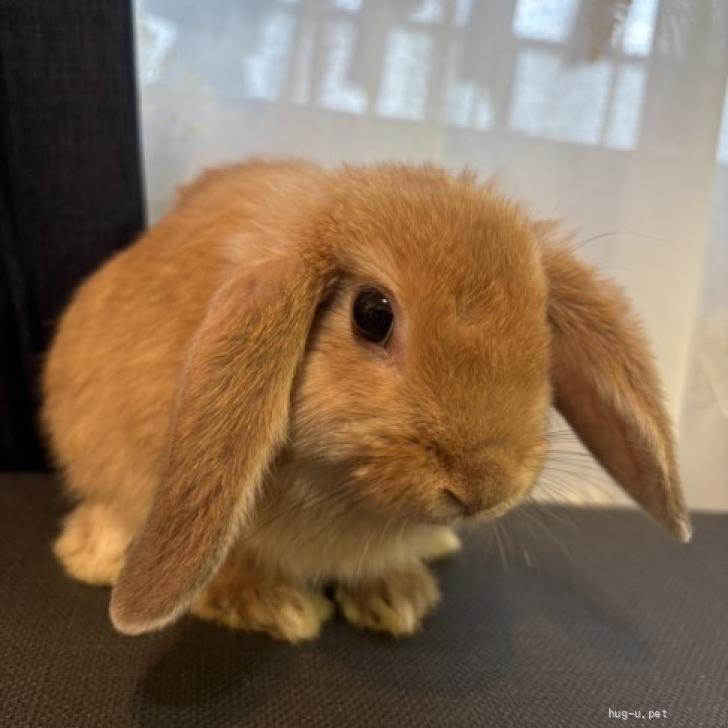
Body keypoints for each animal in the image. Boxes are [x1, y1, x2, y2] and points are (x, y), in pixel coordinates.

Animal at [42, 159, 691, 642]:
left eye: (543, 324)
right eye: (372, 314)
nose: (483, 487)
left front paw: (397, 599)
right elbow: (229, 566)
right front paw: (278, 608)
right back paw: (96, 557)